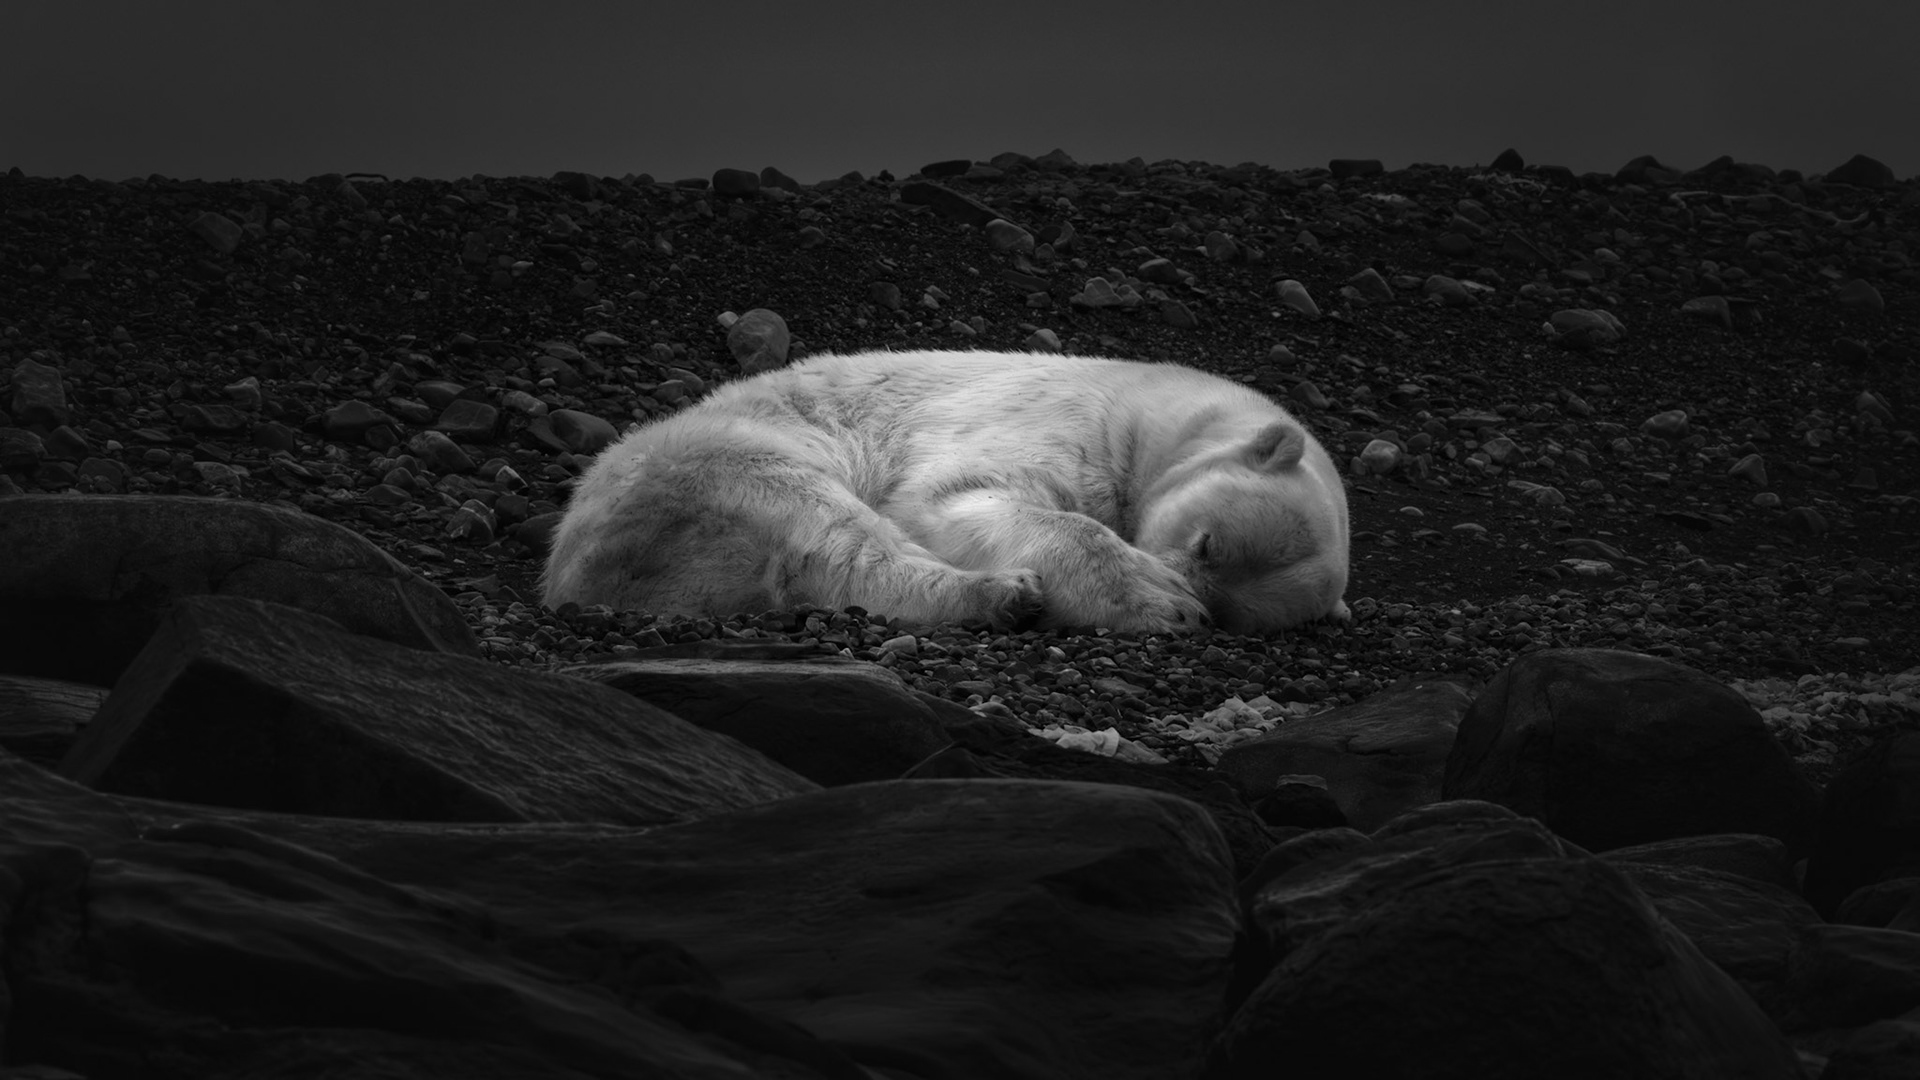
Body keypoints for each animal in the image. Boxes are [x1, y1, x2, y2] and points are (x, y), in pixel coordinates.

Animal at [541, 349, 1350, 634]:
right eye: (1206, 543)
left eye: (1239, 614)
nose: (1201, 604)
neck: (1153, 413)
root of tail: (566, 563)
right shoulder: (1062, 417)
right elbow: (953, 494)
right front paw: (1157, 598)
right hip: (722, 461)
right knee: (833, 532)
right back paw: (1002, 593)